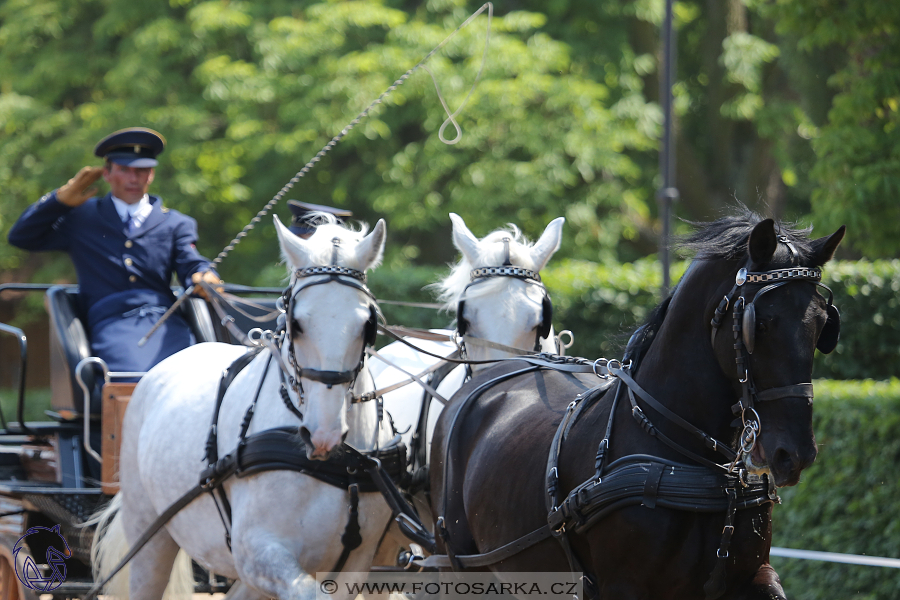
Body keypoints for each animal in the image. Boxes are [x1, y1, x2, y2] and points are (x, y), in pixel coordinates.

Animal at [90, 216, 394, 600]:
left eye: (368, 324)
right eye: (296, 323)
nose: (323, 434)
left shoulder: (356, 565)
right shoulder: (257, 553)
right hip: (150, 535)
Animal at [432, 212, 848, 600]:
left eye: (822, 327)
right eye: (758, 325)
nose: (794, 453)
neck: (694, 464)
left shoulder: (753, 576)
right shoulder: (624, 586)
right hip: (459, 566)